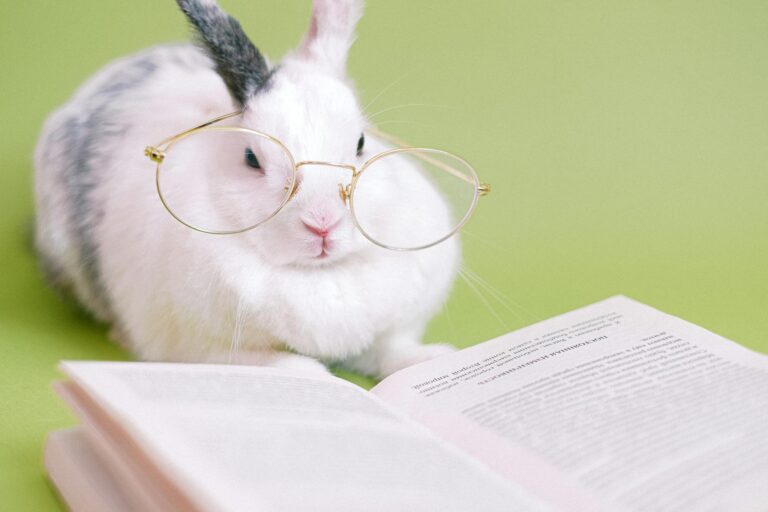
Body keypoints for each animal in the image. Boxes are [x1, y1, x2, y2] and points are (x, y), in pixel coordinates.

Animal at [33, 0, 460, 376]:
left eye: (360, 143)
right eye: (252, 158)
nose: (323, 224)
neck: (317, 275)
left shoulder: (389, 332)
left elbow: (391, 352)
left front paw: (433, 358)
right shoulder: (199, 347)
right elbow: (269, 364)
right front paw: (311, 374)